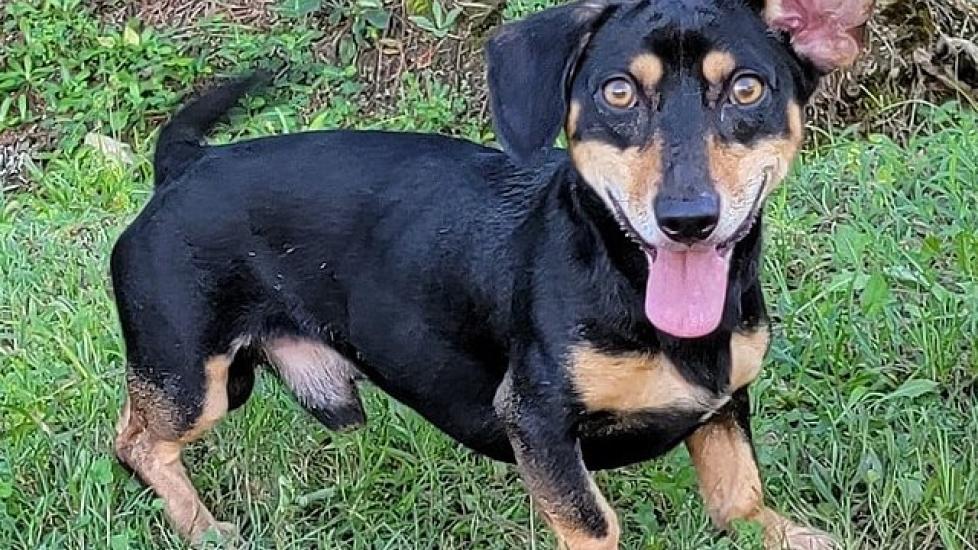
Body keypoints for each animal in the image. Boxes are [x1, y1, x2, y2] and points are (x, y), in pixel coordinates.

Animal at [112, 0, 868, 548]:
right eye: (618, 93)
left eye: (747, 87)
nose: (688, 219)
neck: (625, 278)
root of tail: (184, 166)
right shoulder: (537, 422)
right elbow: (594, 524)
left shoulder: (726, 402)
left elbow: (739, 495)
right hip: (194, 380)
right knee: (137, 442)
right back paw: (202, 527)